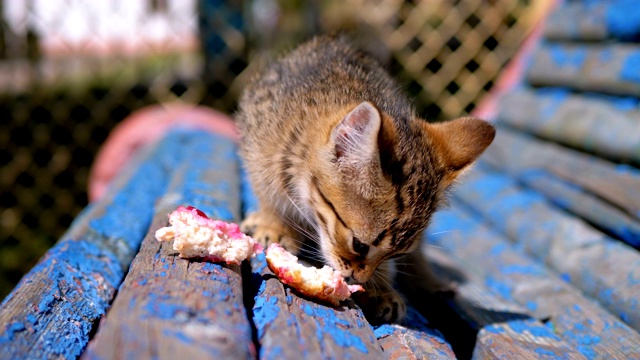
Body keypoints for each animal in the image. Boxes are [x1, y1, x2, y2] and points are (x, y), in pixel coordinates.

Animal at [235, 35, 496, 324]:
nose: (360, 277)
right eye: (359, 245)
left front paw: (380, 288)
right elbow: (267, 192)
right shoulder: (258, 142)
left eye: (397, 254)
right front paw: (276, 224)